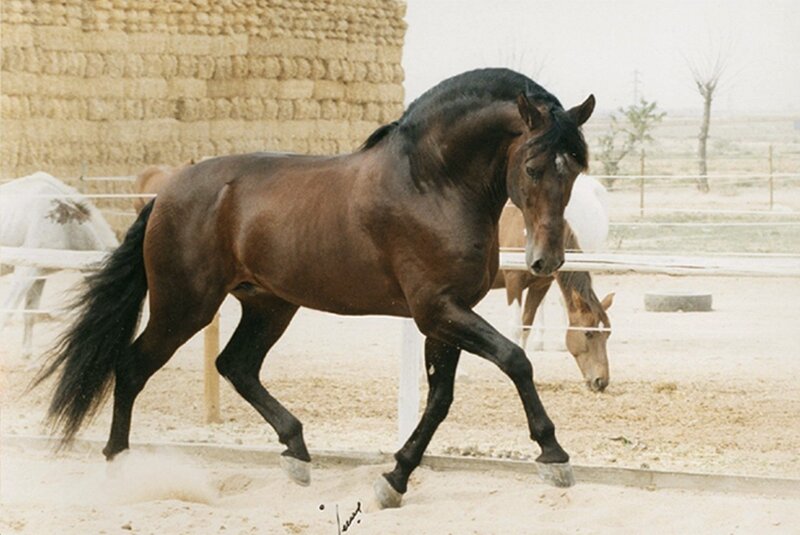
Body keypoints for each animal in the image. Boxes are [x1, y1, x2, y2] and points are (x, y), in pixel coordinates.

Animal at [35, 68, 595, 508]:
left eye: (575, 169)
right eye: (532, 167)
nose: (546, 261)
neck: (432, 184)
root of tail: (166, 192)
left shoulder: (446, 317)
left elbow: (440, 399)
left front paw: (394, 479)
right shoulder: (438, 311)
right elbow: (515, 360)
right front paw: (554, 456)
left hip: (269, 305)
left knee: (236, 365)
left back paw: (297, 453)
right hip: (185, 306)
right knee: (132, 367)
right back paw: (120, 470)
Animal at [495, 180, 614, 392]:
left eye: (607, 334)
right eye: (588, 333)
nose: (601, 381)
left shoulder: (540, 284)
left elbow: (526, 325)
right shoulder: (513, 280)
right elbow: (516, 327)